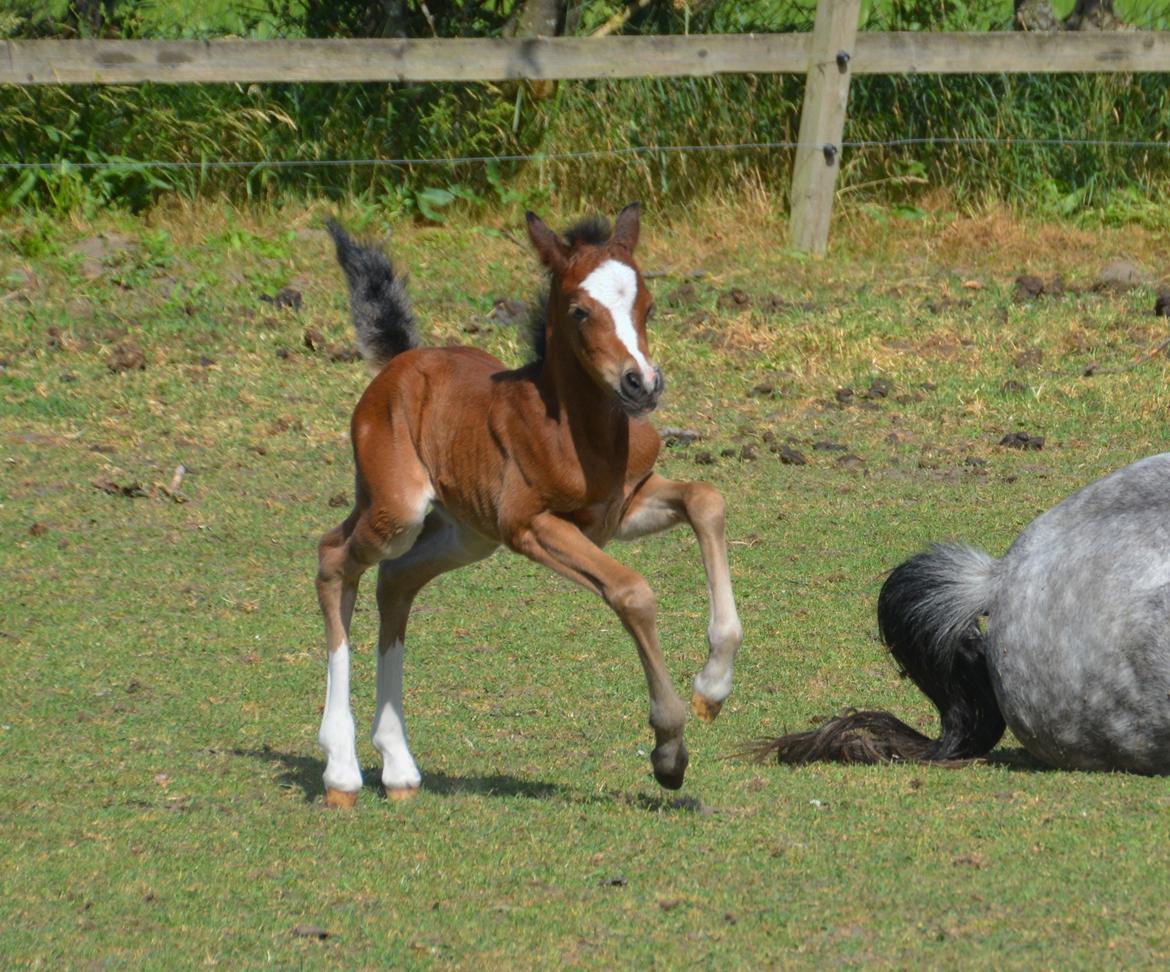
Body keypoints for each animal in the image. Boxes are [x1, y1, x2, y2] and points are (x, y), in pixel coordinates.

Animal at [315, 204, 743, 807]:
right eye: (579, 310)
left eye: (648, 306)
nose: (642, 384)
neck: (580, 434)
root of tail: (400, 362)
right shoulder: (532, 526)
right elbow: (632, 591)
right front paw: (668, 750)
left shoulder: (623, 508)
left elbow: (707, 500)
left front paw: (712, 688)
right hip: (397, 510)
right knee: (334, 559)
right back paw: (341, 771)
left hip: (466, 535)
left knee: (395, 582)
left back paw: (398, 767)